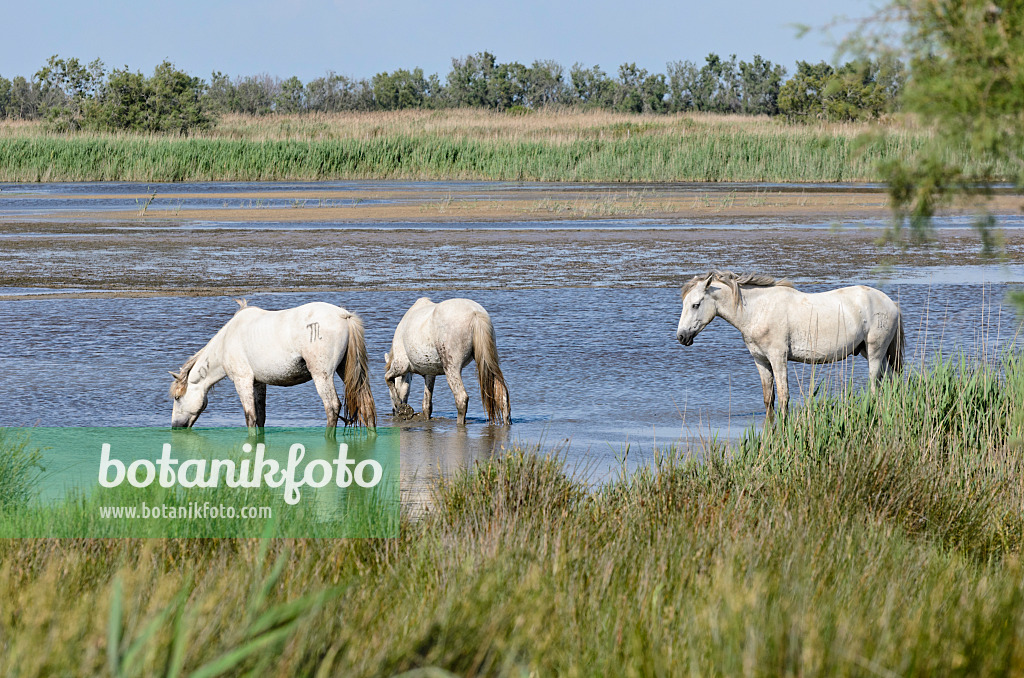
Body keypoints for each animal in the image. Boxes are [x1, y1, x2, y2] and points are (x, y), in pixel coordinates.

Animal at [169, 301, 378, 430]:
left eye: (178, 398)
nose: (175, 426)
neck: (226, 341)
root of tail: (344, 316)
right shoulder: (258, 383)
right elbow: (260, 417)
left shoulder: (242, 380)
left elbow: (250, 417)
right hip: (346, 370)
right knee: (366, 404)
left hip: (322, 375)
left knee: (332, 407)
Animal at [385, 297, 512, 426]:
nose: (393, 411)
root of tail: (475, 313)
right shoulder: (430, 374)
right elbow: (427, 405)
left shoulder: (402, 365)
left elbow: (388, 378)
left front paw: (401, 407)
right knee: (503, 397)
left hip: (451, 368)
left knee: (461, 399)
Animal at [679, 270, 905, 419]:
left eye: (696, 304)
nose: (681, 336)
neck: (759, 310)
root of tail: (891, 303)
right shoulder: (761, 360)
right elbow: (768, 398)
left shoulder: (778, 358)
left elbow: (784, 396)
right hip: (872, 353)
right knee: (891, 382)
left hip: (875, 352)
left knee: (876, 387)